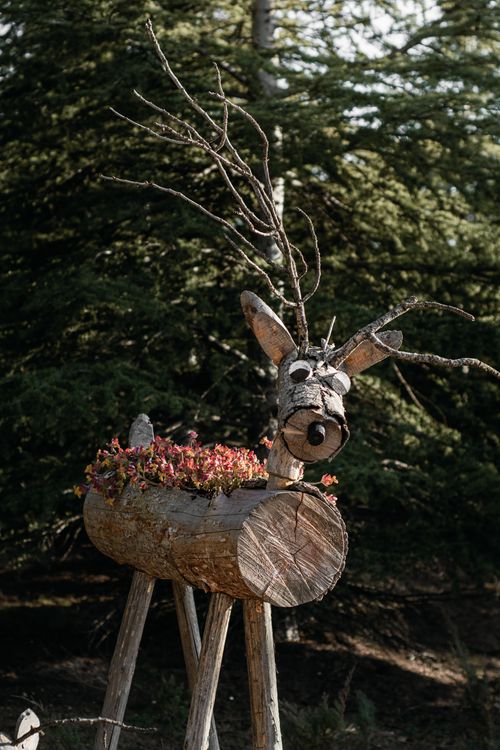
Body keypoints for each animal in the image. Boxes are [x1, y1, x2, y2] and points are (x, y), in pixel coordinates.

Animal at [90, 19, 500, 750]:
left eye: (345, 387)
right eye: (300, 375)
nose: (320, 425)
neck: (275, 487)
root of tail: (137, 449)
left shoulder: (248, 589)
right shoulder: (230, 576)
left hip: (174, 565)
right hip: (144, 556)